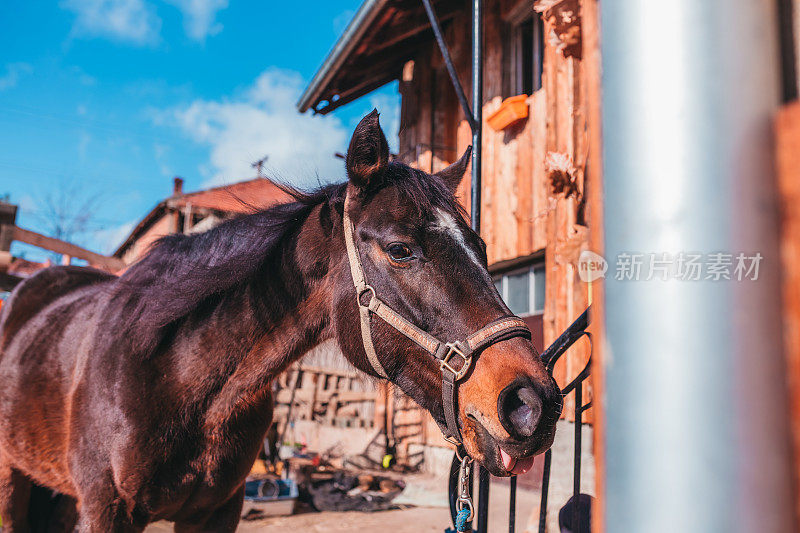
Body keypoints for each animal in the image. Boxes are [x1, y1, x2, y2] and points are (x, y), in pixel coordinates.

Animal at [0, 110, 564, 528]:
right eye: (400, 249)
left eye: (481, 248)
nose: (533, 405)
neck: (177, 380)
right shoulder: (105, 510)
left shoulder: (217, 511)